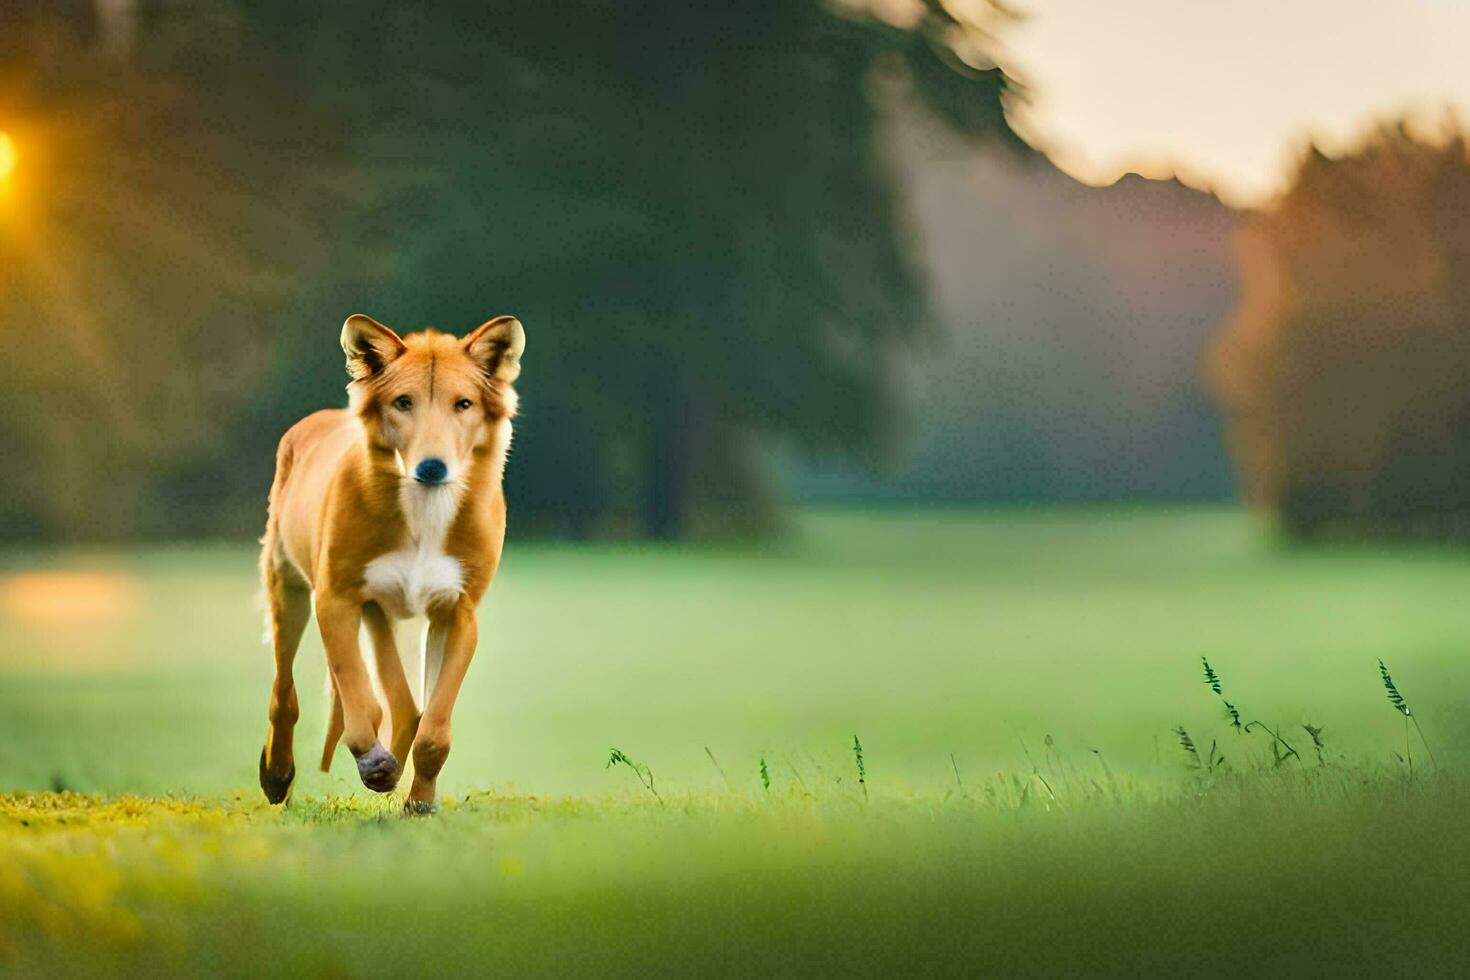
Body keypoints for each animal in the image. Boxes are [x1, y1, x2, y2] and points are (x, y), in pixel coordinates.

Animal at [257, 314, 523, 811]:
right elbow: (358, 701)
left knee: (406, 707)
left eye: (463, 404)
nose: (432, 467)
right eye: (403, 402)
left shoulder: (457, 612)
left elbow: (433, 727)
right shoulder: (336, 600)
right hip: (292, 590)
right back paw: (278, 775)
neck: (423, 513)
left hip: (384, 615)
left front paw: (419, 804)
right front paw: (375, 764)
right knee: (285, 691)